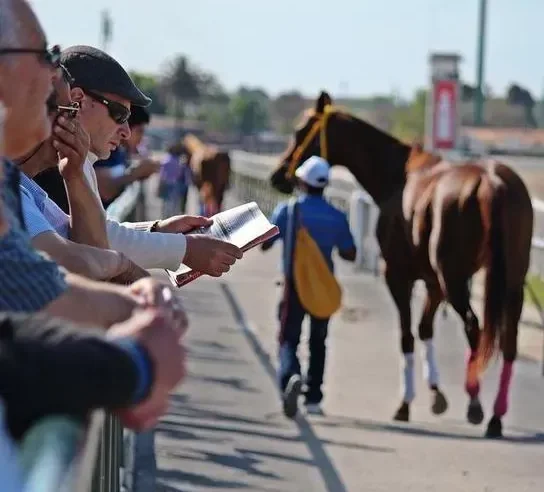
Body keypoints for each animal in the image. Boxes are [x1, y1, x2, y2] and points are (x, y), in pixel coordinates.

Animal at [270, 91, 532, 438]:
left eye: (301, 131)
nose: (279, 176)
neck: (399, 176)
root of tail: (492, 182)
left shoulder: (398, 275)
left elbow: (407, 335)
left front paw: (405, 404)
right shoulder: (432, 282)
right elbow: (424, 329)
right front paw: (436, 395)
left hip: (455, 277)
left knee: (473, 327)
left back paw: (476, 405)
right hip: (512, 277)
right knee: (510, 341)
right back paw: (495, 417)